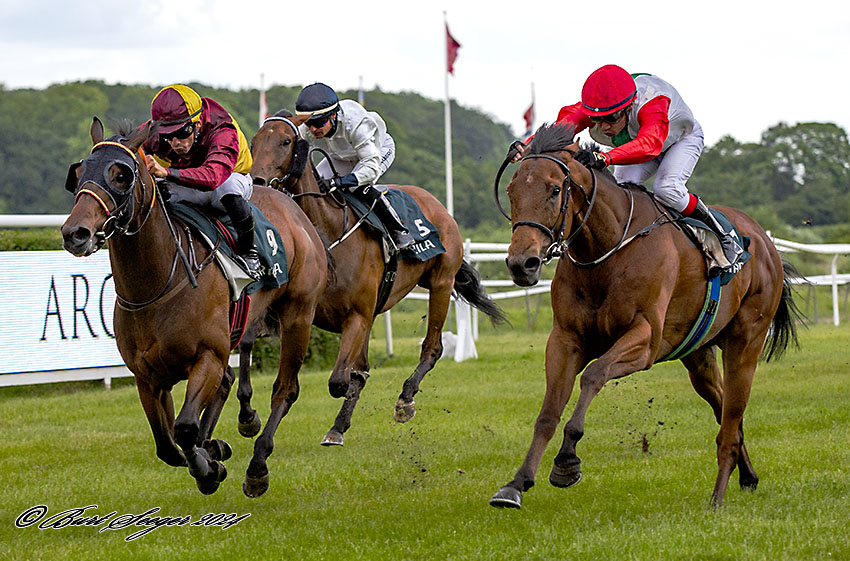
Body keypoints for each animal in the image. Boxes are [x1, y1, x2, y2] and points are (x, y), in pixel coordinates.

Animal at [59, 116, 324, 496]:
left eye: (121, 174)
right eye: (79, 172)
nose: (75, 232)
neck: (155, 287)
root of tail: (291, 206)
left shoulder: (207, 357)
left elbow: (184, 428)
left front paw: (208, 468)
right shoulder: (148, 377)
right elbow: (167, 444)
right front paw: (210, 454)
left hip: (298, 315)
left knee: (284, 390)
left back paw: (257, 467)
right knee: (228, 382)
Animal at [248, 112, 506, 446]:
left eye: (285, 141)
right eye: (254, 142)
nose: (256, 182)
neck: (330, 232)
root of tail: (436, 204)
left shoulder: (356, 316)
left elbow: (340, 380)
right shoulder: (297, 312)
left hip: (441, 282)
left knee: (432, 347)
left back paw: (405, 400)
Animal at [486, 124, 800, 510]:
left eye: (555, 189)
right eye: (512, 191)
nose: (522, 264)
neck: (607, 251)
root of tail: (766, 243)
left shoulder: (646, 339)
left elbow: (594, 375)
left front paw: (567, 460)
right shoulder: (565, 339)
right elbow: (547, 413)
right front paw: (516, 484)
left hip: (746, 342)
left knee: (731, 418)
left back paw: (717, 498)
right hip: (698, 356)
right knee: (726, 410)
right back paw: (748, 476)